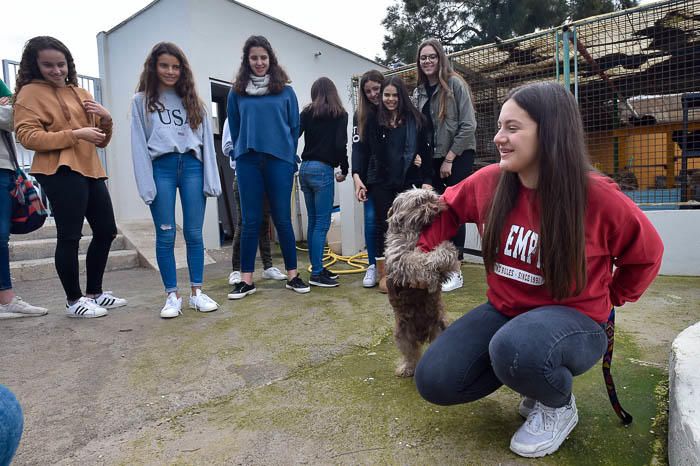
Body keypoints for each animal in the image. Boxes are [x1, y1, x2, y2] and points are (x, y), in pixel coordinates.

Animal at [382, 187, 460, 376]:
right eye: (419, 202)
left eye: (432, 198)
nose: (436, 207)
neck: (415, 231)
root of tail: (421, 333)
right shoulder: (400, 259)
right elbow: (418, 259)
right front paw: (430, 271)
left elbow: (443, 258)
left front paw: (445, 249)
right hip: (402, 335)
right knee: (411, 354)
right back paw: (407, 368)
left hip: (439, 329)